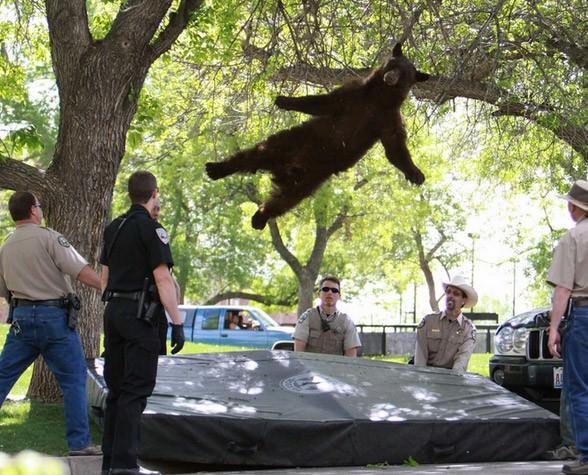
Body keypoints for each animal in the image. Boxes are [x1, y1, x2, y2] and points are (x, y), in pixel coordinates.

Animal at [204, 42, 430, 231]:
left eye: (405, 74)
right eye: (393, 64)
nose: (390, 76)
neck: (379, 98)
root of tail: (284, 170)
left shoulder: (388, 119)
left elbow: (395, 147)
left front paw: (416, 174)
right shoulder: (354, 95)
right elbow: (323, 102)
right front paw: (284, 100)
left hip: (310, 179)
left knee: (284, 200)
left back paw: (259, 217)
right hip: (291, 141)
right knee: (253, 155)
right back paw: (217, 168)